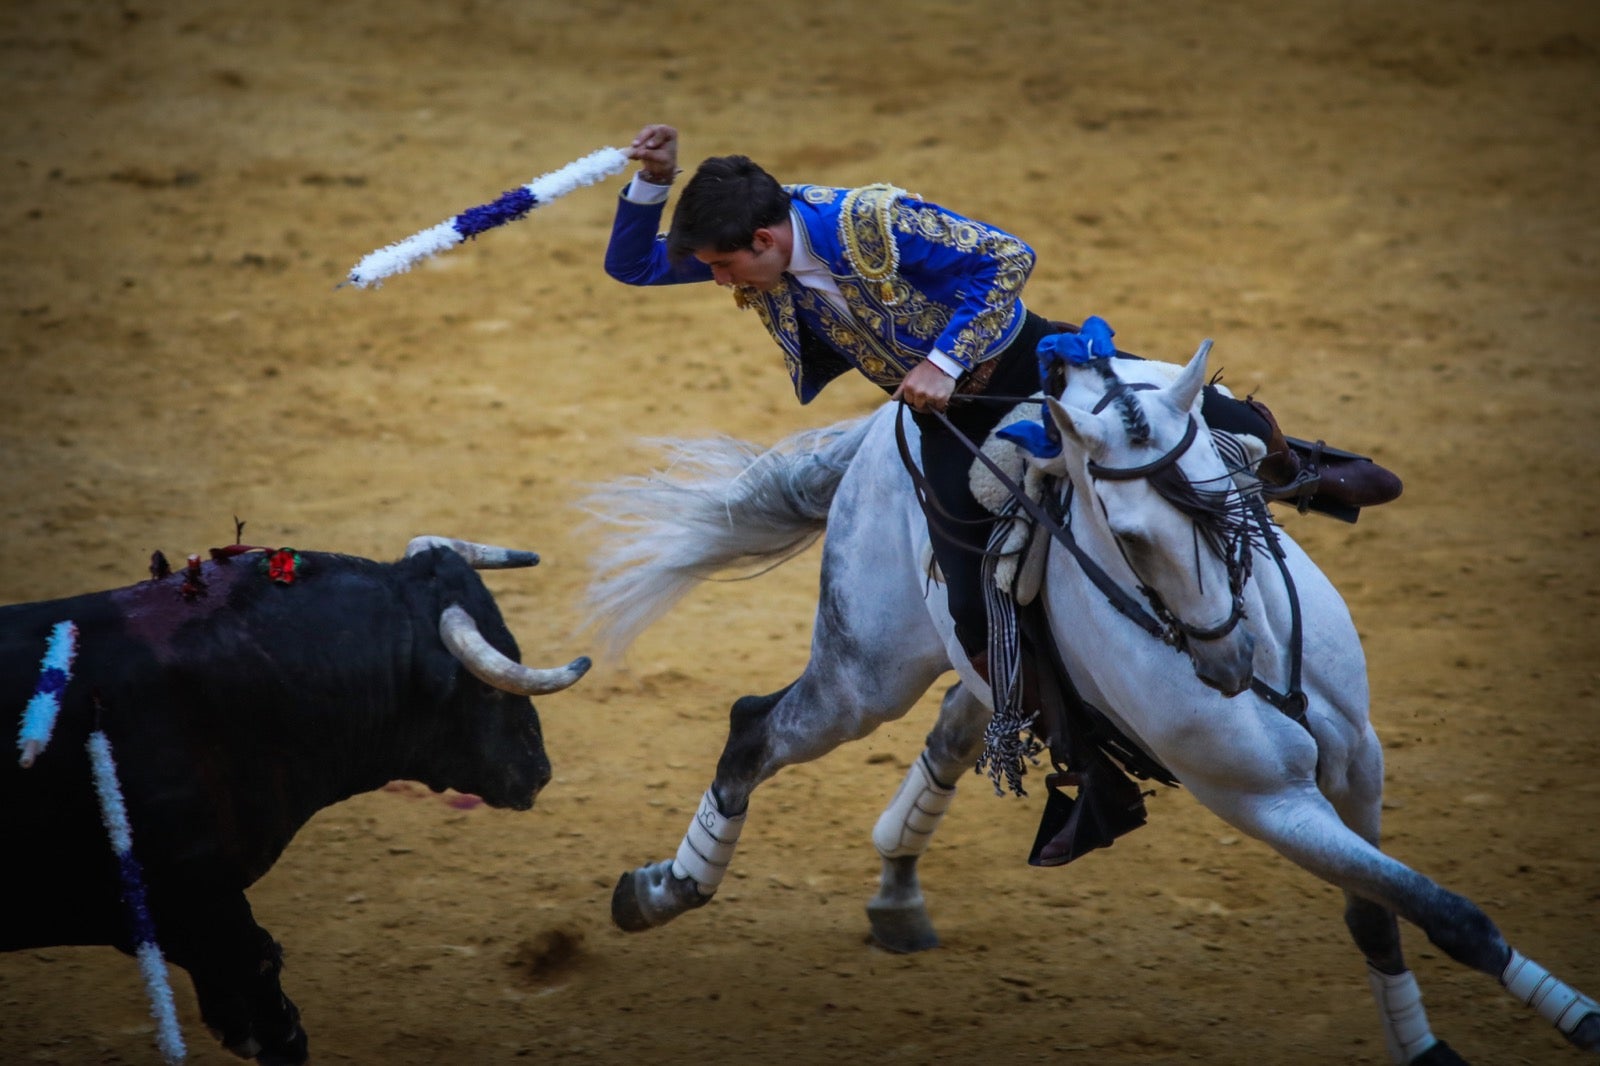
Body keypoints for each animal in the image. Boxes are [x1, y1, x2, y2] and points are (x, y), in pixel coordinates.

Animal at [582, 342, 1593, 1062]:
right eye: (1130, 536)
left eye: (1231, 487)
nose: (1226, 660)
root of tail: (873, 436)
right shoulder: (1267, 803)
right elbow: (1447, 913)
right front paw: (1576, 1015)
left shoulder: (1359, 764)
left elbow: (1382, 912)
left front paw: (1431, 1048)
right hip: (864, 671)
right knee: (758, 730)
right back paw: (667, 888)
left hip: (969, 661)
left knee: (959, 725)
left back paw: (897, 883)